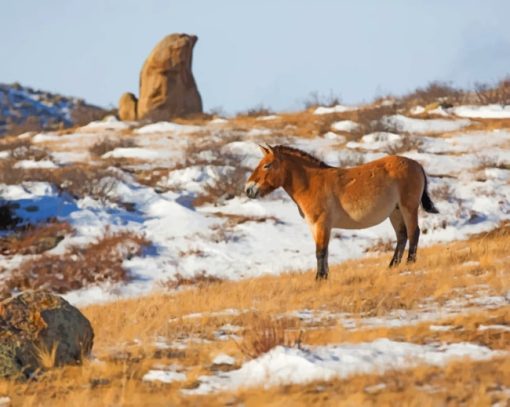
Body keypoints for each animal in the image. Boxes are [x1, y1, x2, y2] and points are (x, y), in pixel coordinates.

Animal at [244, 144, 438, 280]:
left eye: (267, 165)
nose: (248, 189)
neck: (311, 183)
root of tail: (416, 164)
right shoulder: (315, 226)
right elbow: (323, 252)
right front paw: (324, 277)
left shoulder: (322, 224)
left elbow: (320, 252)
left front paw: (319, 279)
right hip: (395, 212)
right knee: (402, 236)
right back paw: (392, 266)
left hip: (408, 208)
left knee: (413, 233)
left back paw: (409, 264)